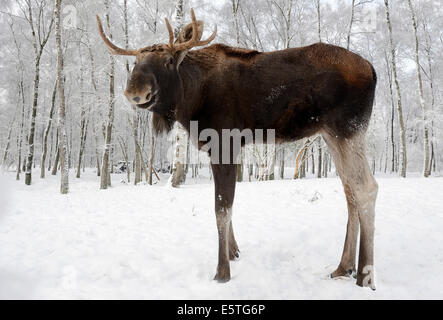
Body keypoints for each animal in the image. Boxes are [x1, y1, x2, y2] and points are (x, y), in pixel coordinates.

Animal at [96, 8, 378, 288]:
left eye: (169, 60)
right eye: (136, 62)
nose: (136, 91)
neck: (190, 99)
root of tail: (373, 70)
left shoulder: (224, 142)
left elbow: (222, 208)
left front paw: (222, 270)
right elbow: (226, 205)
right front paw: (234, 252)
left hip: (347, 130)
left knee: (366, 188)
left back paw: (364, 275)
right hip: (331, 135)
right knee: (350, 191)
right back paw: (343, 267)